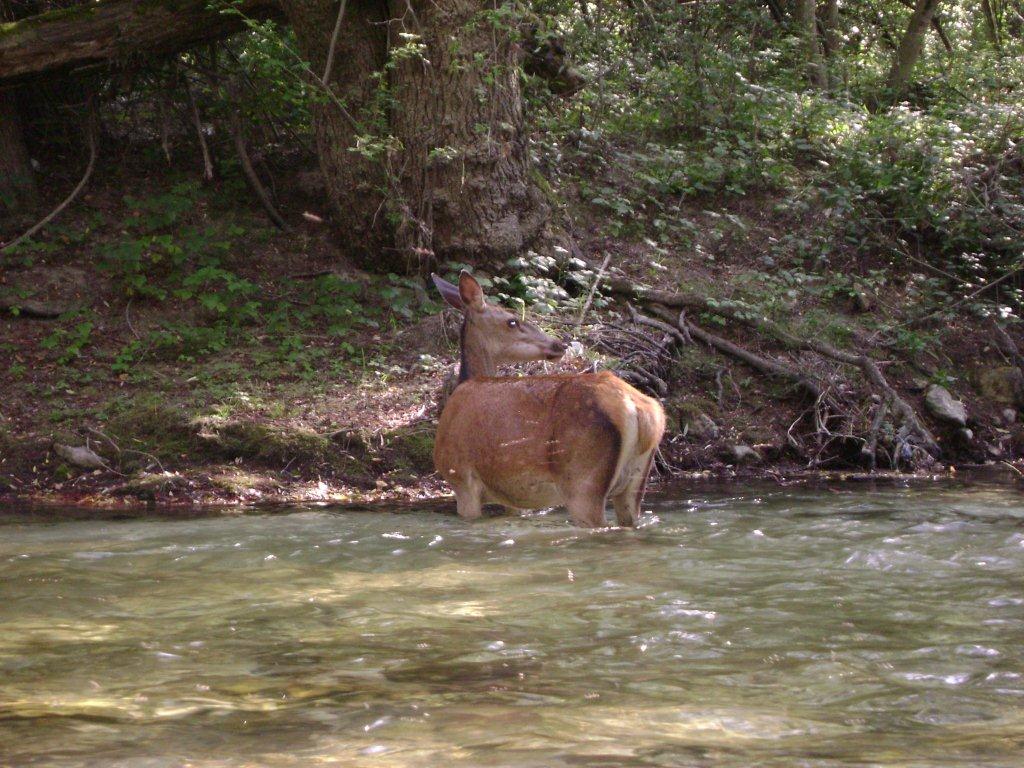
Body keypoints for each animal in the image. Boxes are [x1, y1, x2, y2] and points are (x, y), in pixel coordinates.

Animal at [430, 272, 663, 528]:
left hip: (582, 479)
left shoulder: (460, 478)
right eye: (512, 321)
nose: (559, 344)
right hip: (635, 481)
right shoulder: (511, 496)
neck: (466, 382)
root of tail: (639, 410)